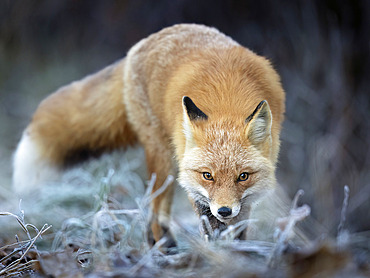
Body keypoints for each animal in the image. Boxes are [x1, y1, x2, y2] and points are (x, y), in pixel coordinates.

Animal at [12, 24, 284, 248]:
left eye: (243, 176)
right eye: (207, 175)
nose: (225, 210)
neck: (226, 100)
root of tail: (147, 41)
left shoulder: (246, 198)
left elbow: (239, 228)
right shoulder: (193, 181)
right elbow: (209, 222)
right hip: (163, 158)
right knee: (156, 207)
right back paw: (162, 246)